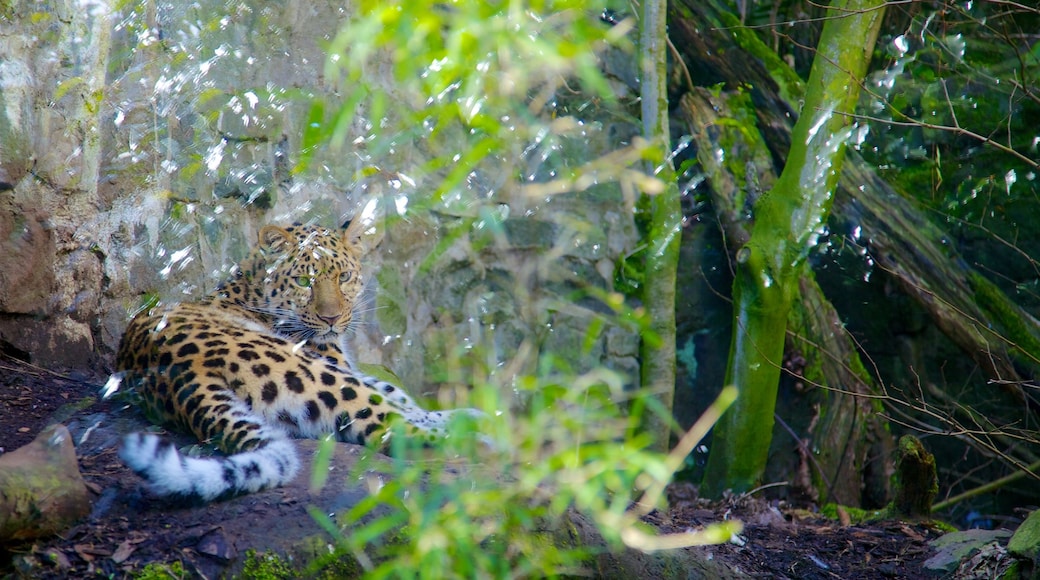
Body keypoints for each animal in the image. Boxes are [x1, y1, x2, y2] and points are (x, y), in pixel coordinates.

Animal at [113, 220, 478, 503]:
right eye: (304, 281)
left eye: (344, 277)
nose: (331, 319)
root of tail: (178, 375)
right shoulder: (335, 364)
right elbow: (395, 400)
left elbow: (397, 393)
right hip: (313, 372)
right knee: (391, 428)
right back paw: (478, 429)